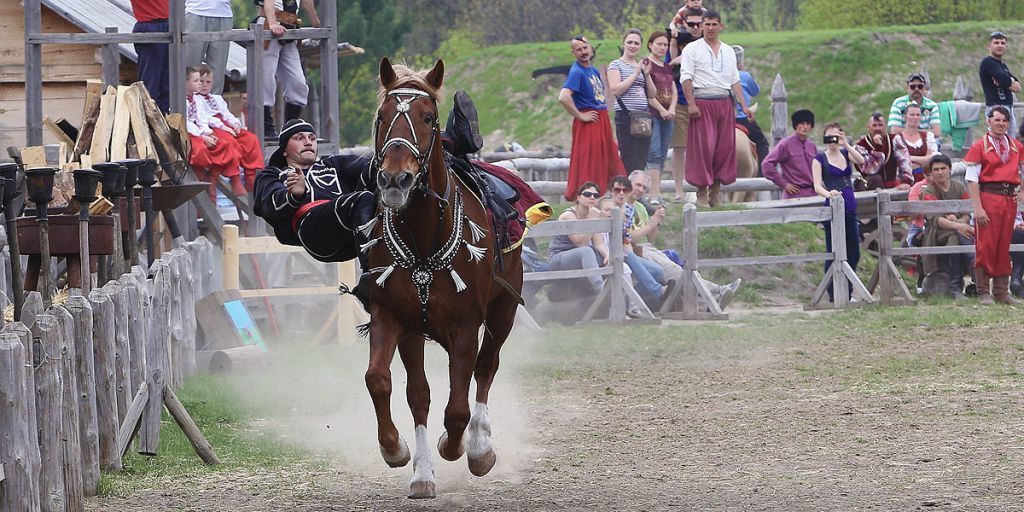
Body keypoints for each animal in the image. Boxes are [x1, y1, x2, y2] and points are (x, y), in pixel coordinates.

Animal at [362, 58, 524, 497]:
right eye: (382, 117)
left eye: (428, 117)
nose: (395, 179)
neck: (423, 236)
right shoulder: (394, 319)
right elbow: (387, 383)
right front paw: (399, 453)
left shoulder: (465, 327)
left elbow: (457, 409)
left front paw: (457, 447)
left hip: (503, 312)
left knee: (486, 369)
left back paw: (480, 446)